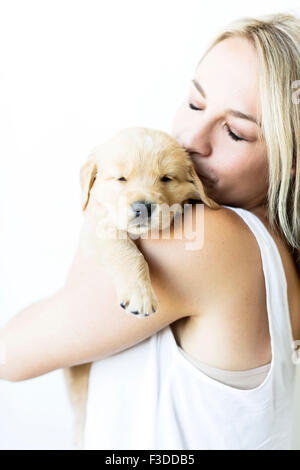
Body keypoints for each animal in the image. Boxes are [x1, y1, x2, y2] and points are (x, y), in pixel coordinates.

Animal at [63, 126, 220, 450]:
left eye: (166, 178)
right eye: (121, 178)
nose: (143, 207)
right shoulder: (97, 227)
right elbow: (125, 250)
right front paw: (140, 295)